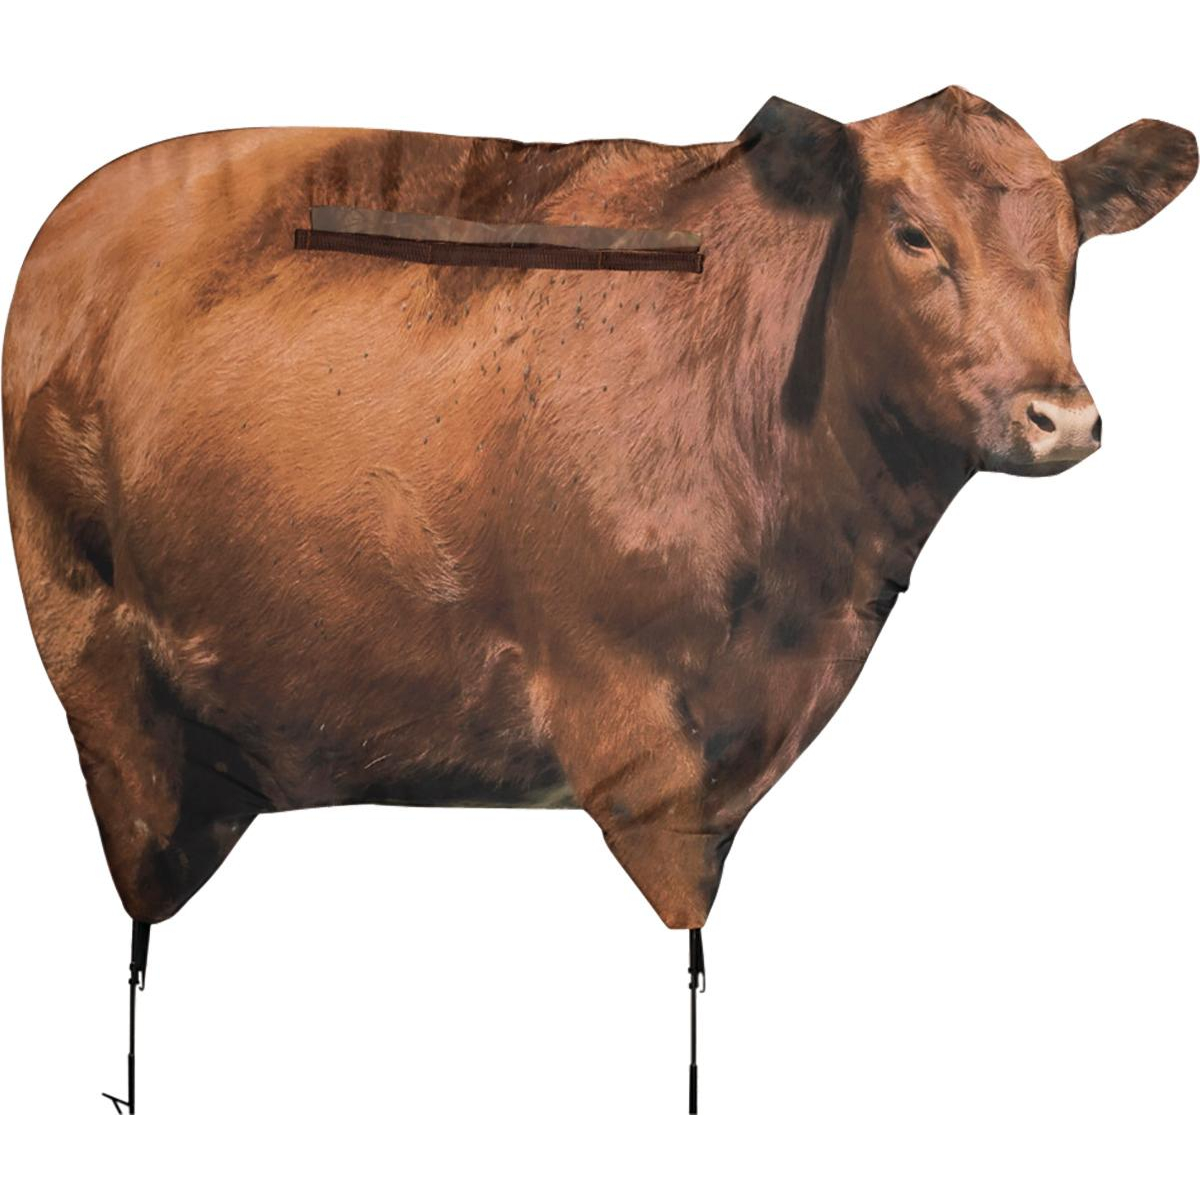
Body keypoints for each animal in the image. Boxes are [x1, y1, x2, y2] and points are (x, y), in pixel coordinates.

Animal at [2, 87, 1195, 1110]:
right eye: (912, 235)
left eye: (1075, 244)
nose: (1061, 417)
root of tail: (72, 217)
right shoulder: (616, 701)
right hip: (93, 654)